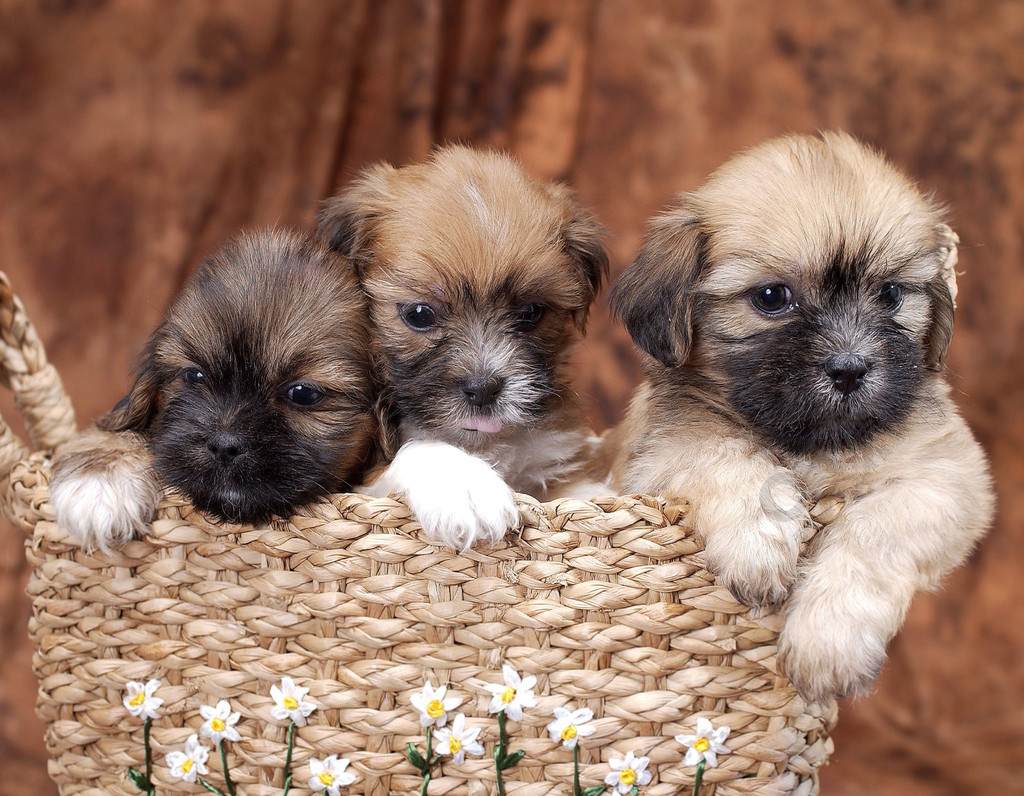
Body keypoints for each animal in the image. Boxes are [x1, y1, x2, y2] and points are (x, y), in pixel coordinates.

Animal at [606, 133, 991, 700]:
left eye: (891, 294)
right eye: (772, 297)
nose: (850, 369)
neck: (813, 443)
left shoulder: (947, 479)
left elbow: (875, 531)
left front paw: (828, 639)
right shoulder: (665, 449)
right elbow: (724, 454)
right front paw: (759, 544)